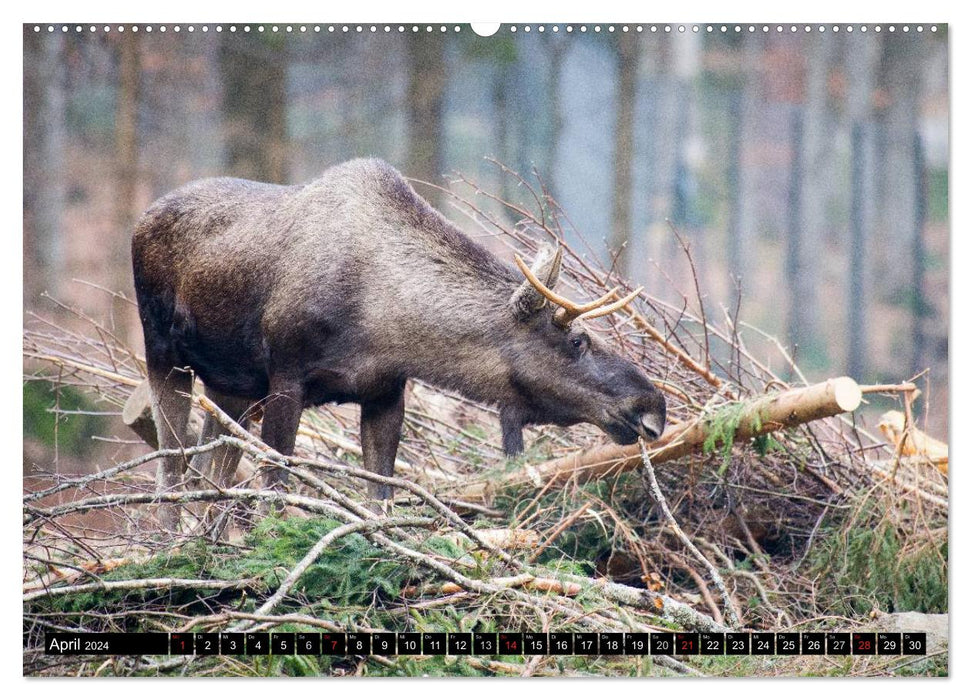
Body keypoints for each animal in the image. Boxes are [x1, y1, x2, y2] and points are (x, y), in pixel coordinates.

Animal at [133, 159, 664, 528]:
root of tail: (142, 219)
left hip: (233, 385)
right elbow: (277, 483)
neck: (382, 319)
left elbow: (380, 496)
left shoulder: (385, 390)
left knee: (212, 467)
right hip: (164, 355)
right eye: (577, 339)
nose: (652, 406)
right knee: (172, 463)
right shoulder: (287, 375)